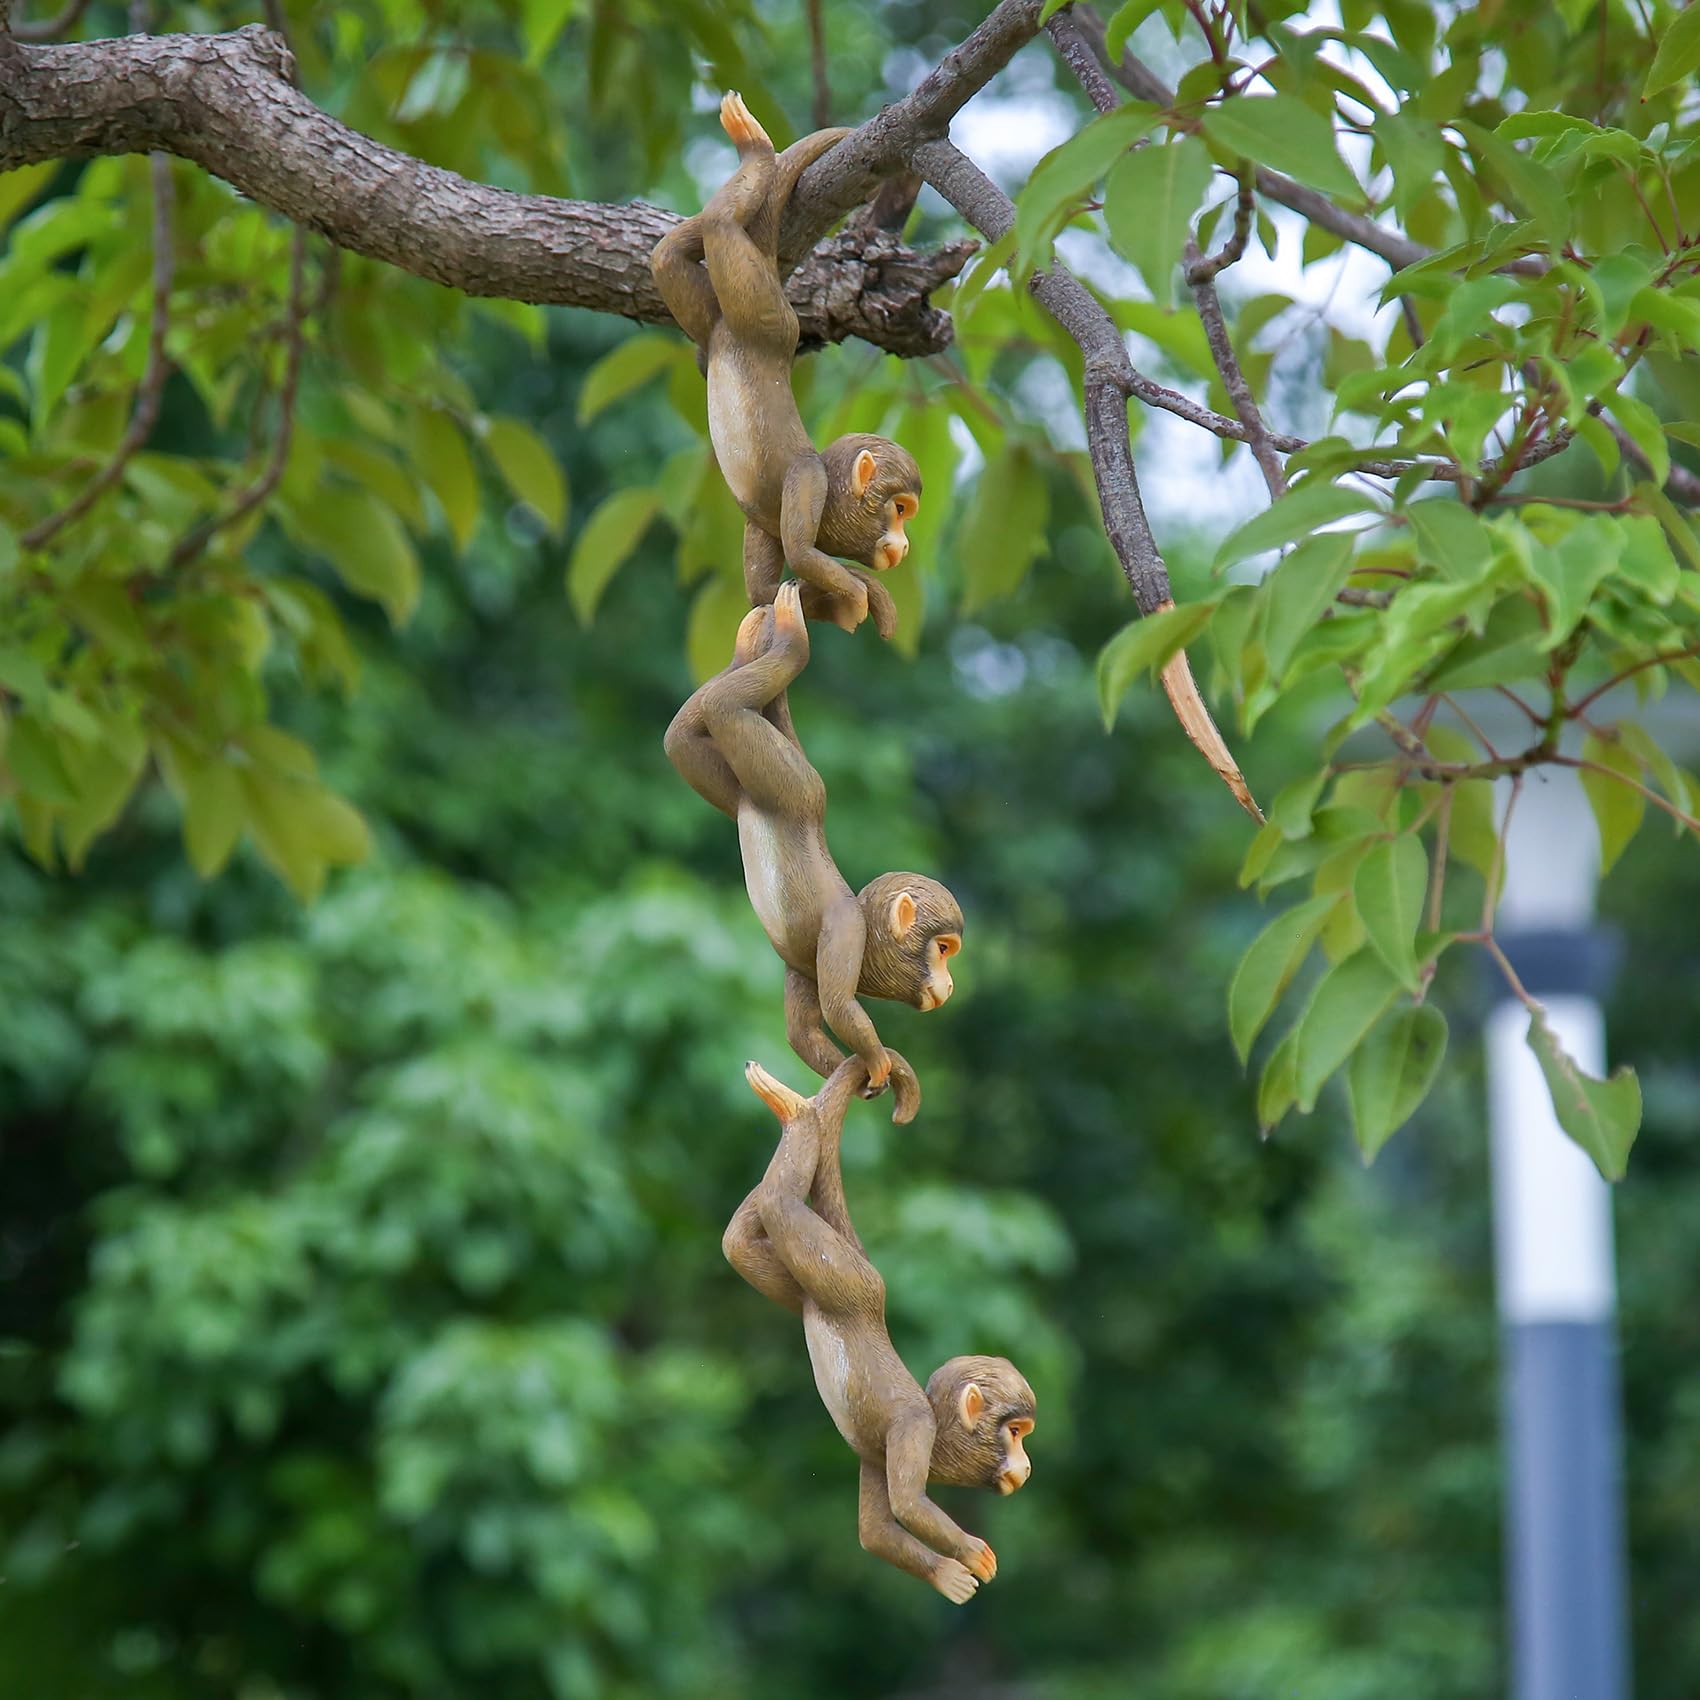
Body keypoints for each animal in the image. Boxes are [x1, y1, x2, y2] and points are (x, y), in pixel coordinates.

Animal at [650, 92, 923, 640]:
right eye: (900, 510)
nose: (904, 545)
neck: (831, 495)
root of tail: (728, 335)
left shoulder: (764, 525)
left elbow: (763, 592)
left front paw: (845, 601)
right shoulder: (807, 484)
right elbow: (803, 552)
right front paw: (858, 594)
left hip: (714, 320)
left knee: (669, 256)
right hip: (769, 319)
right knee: (722, 229)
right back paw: (756, 150)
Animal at [664, 581, 961, 1119]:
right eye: (944, 949)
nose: (949, 984)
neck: (868, 930)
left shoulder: (802, 967)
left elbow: (802, 1031)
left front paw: (862, 1073)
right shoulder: (845, 933)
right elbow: (841, 1009)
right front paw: (877, 1062)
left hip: (740, 787)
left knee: (686, 733)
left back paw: (748, 644)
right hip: (793, 785)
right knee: (727, 709)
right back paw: (790, 640)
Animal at [724, 1054, 1036, 1603]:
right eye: (1015, 1432)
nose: (1028, 1464)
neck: (937, 1427)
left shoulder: (875, 1456)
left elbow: (876, 1530)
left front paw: (946, 1575)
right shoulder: (913, 1430)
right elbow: (909, 1505)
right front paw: (970, 1554)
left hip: (812, 1287)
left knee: (741, 1241)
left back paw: (791, 1113)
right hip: (852, 1283)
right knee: (783, 1204)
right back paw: (798, 1114)